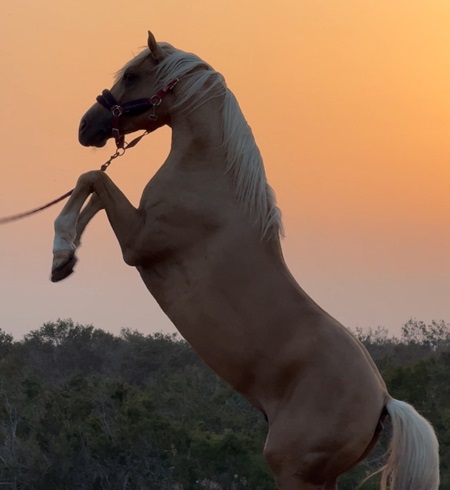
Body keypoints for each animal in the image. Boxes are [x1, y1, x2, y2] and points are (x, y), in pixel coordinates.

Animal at [50, 31, 440, 490]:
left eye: (131, 75)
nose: (85, 127)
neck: (210, 178)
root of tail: (384, 401)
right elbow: (94, 191)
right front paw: (64, 261)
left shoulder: (138, 242)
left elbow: (93, 179)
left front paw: (60, 250)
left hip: (291, 469)